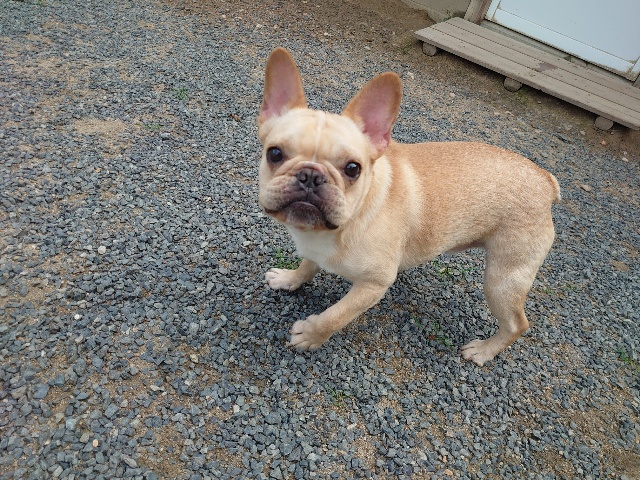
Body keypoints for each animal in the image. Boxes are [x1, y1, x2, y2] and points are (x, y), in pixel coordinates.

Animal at [257, 47, 560, 366]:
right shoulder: (315, 251)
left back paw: (484, 350)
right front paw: (290, 279)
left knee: (516, 324)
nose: (310, 175)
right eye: (274, 153)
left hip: (502, 280)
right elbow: (307, 266)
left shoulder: (373, 285)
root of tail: (545, 180)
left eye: (353, 169)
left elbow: (334, 316)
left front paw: (310, 335)